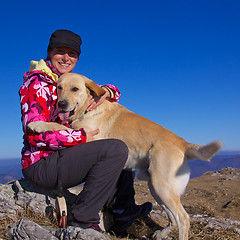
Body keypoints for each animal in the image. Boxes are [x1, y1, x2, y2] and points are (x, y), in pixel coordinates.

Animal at [28, 72, 223, 239]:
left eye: (75, 89)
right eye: (59, 88)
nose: (61, 104)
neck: (87, 109)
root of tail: (183, 143)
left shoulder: (90, 138)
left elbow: (60, 126)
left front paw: (38, 125)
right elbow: (63, 126)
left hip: (162, 186)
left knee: (183, 218)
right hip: (157, 187)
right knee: (173, 218)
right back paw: (161, 234)